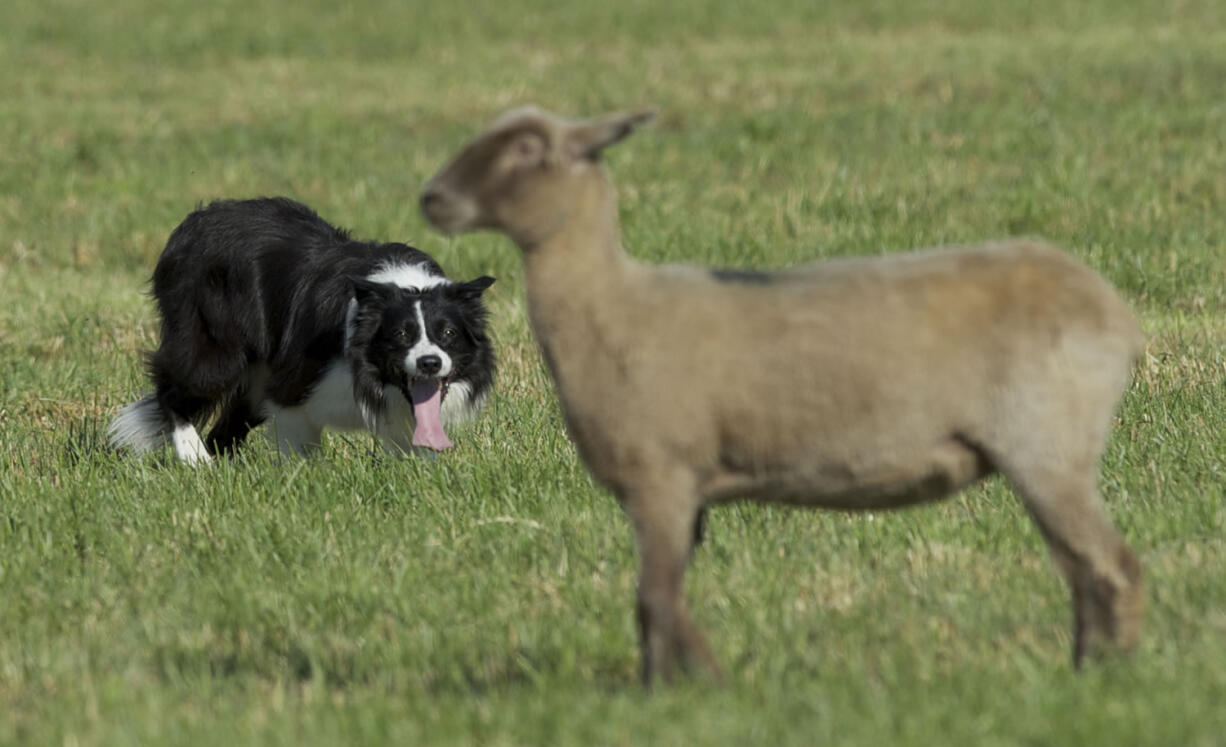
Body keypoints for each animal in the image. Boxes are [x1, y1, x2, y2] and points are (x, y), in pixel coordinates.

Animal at [107, 195, 495, 463]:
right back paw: (195, 459)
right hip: (214, 345)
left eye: (448, 334)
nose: (430, 363)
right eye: (400, 335)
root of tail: (194, 221)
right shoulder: (292, 387)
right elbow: (299, 446)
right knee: (175, 392)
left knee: (225, 428)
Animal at [424, 106, 1147, 686]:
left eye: (526, 148)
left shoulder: (662, 474)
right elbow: (664, 600)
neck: (611, 305)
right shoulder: (679, 491)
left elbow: (655, 598)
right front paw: (687, 684)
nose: (430, 197)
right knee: (1082, 567)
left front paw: (677, 693)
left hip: (1047, 440)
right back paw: (1084, 670)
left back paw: (1109, 681)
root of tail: (1109, 306)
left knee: (1112, 565)